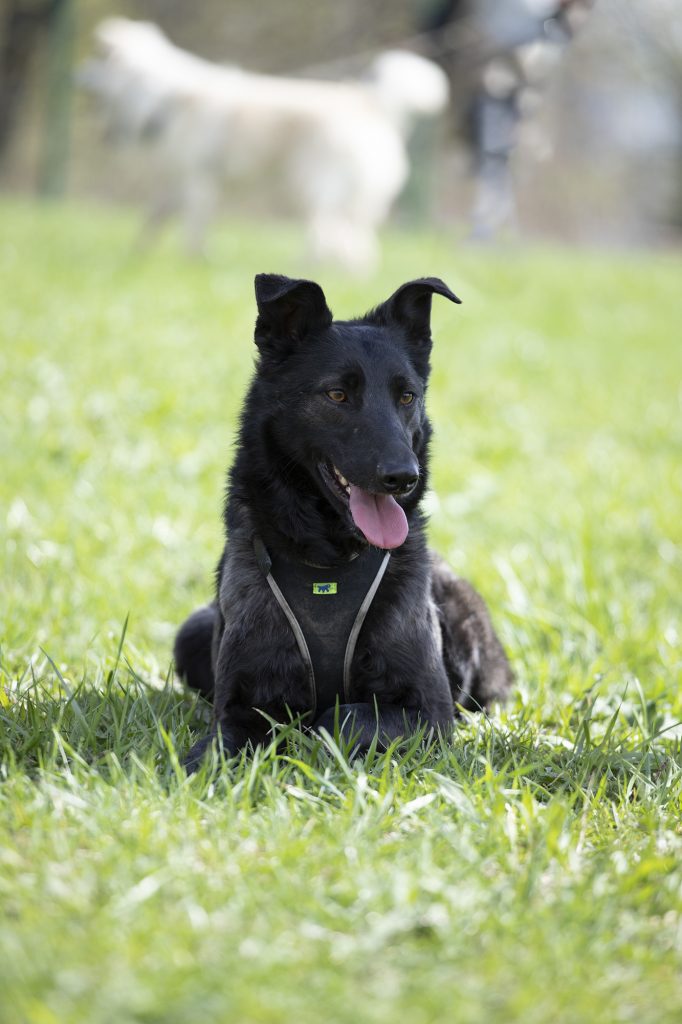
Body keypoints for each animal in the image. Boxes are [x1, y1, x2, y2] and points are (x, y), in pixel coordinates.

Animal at [80, 20, 450, 268]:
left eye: (98, 59)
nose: (77, 74)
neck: (161, 96)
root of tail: (370, 102)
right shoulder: (177, 181)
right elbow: (154, 219)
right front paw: (136, 255)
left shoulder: (199, 179)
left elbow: (192, 229)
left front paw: (193, 262)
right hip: (348, 199)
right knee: (356, 245)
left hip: (312, 186)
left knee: (330, 238)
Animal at [173, 272, 507, 770]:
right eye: (337, 395)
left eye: (406, 396)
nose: (403, 477)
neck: (328, 559)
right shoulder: (236, 706)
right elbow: (216, 746)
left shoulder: (429, 712)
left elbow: (339, 716)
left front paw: (306, 735)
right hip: (191, 632)